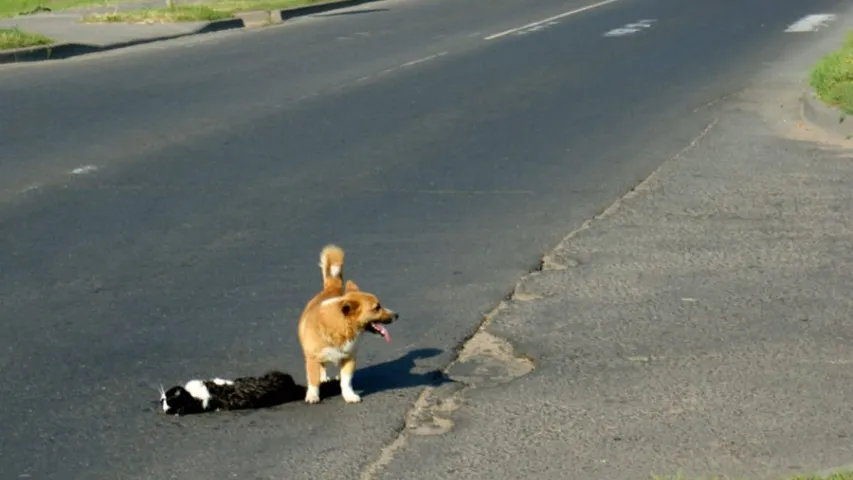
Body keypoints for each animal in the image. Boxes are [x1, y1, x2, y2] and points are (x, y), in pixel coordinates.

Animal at [296, 246, 400, 404]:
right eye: (377, 308)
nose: (397, 315)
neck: (339, 327)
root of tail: (330, 288)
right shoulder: (312, 358)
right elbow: (313, 381)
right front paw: (313, 396)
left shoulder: (349, 358)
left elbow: (346, 381)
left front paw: (349, 395)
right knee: (321, 368)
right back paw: (322, 378)